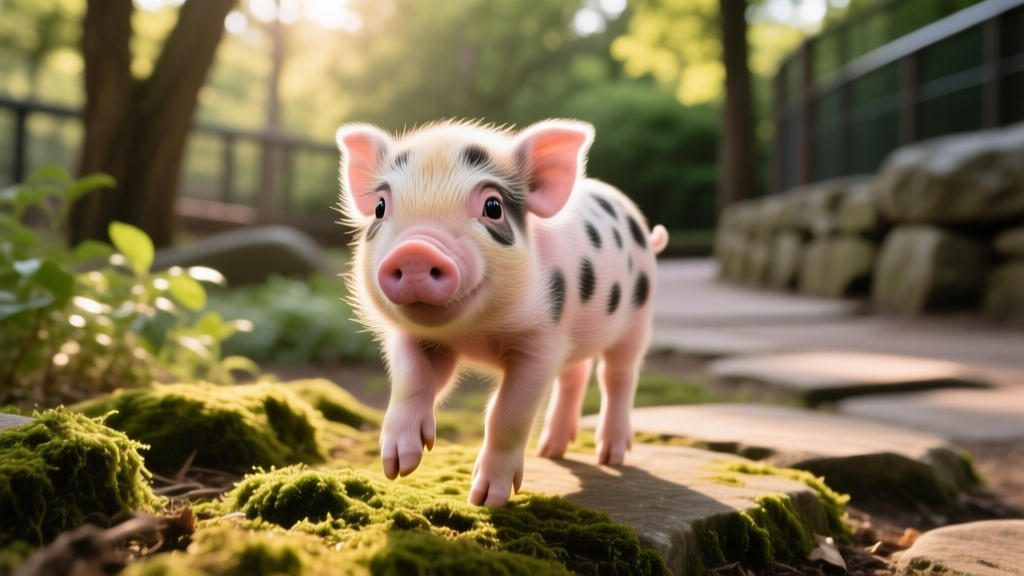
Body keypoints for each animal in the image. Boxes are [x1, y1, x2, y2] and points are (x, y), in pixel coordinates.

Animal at [336, 120, 668, 507]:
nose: (415, 250)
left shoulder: (541, 345)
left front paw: (485, 500)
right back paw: (551, 451)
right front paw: (398, 466)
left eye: (493, 207)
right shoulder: (413, 337)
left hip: (637, 318)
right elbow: (412, 378)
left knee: (617, 376)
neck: (475, 333)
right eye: (379, 207)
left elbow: (507, 411)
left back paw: (611, 455)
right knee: (576, 373)